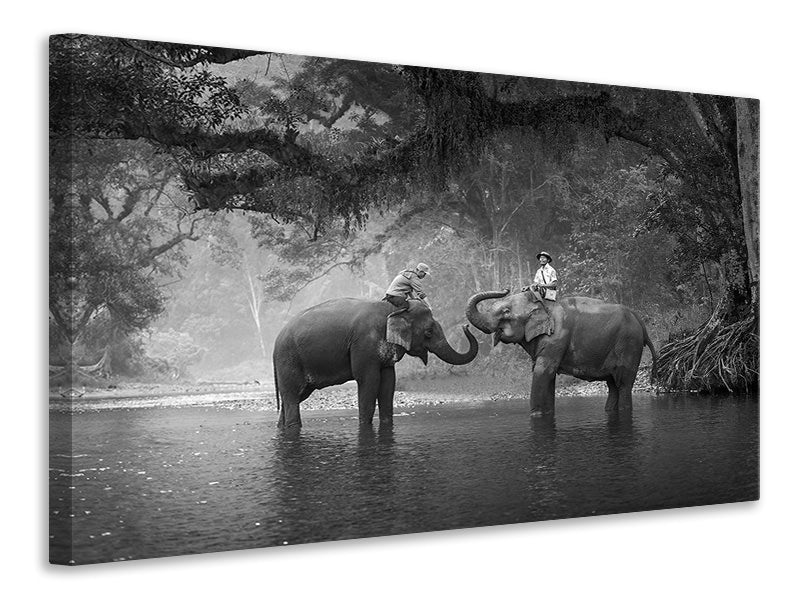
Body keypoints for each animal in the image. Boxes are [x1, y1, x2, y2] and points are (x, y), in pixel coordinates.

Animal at [273, 298, 479, 429]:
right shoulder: (364, 344)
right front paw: (365, 426)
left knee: (295, 397)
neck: (391, 309)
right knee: (292, 396)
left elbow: (388, 383)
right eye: (428, 332)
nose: (466, 326)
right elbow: (368, 381)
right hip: (289, 360)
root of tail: (275, 343)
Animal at [465, 289, 657, 416]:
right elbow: (547, 376)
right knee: (612, 385)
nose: (465, 327)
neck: (543, 304)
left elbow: (543, 372)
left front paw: (535, 415)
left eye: (506, 312)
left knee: (623, 385)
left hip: (629, 345)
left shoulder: (557, 338)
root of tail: (640, 321)